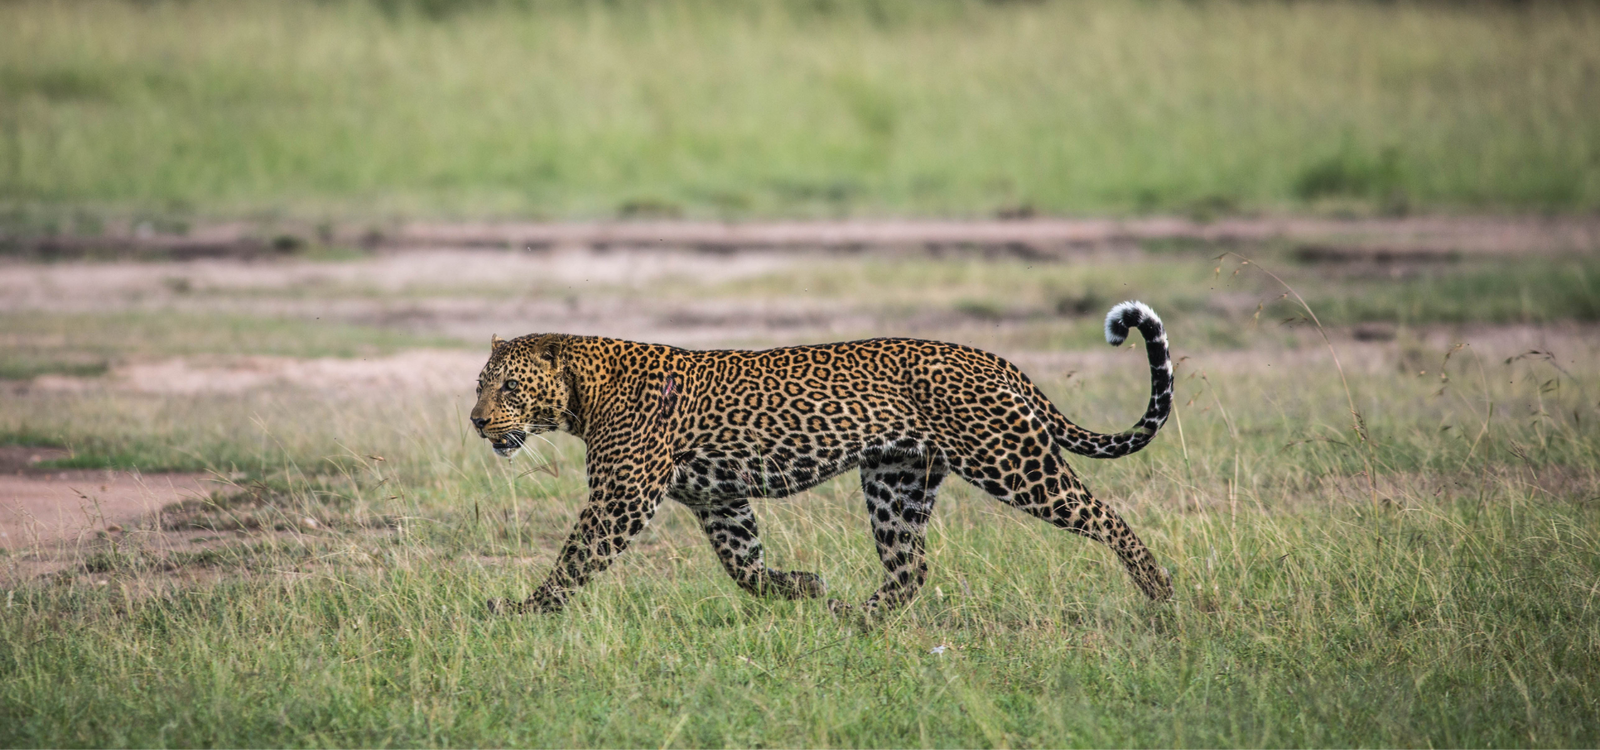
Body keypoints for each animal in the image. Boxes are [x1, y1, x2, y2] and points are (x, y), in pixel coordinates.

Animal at [472, 301, 1175, 615]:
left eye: (507, 388)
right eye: (479, 385)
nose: (476, 421)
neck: (582, 394)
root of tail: (996, 359)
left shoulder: (621, 498)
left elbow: (574, 559)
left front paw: (521, 613)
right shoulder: (719, 499)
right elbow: (743, 565)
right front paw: (802, 589)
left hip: (1011, 460)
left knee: (1105, 517)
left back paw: (1161, 596)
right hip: (895, 482)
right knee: (911, 566)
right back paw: (855, 618)